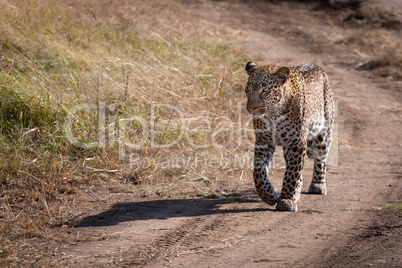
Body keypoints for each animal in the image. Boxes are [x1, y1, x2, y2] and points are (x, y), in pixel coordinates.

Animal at [243, 60, 334, 211]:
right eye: (248, 89)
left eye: (265, 90)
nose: (252, 107)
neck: (273, 114)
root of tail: (318, 67)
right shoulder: (264, 142)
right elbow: (258, 173)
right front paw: (269, 195)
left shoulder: (297, 143)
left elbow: (292, 173)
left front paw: (286, 200)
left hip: (323, 134)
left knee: (321, 159)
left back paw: (318, 185)